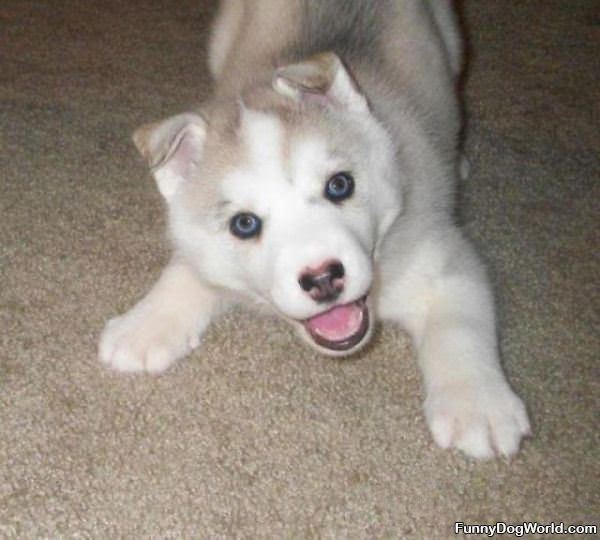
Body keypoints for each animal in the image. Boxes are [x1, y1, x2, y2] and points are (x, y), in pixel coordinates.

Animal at [98, 1, 528, 460]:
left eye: (340, 185)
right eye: (244, 224)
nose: (323, 278)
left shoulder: (443, 257)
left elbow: (462, 325)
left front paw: (477, 405)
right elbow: (188, 270)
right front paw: (143, 325)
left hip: (450, 39)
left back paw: (458, 160)